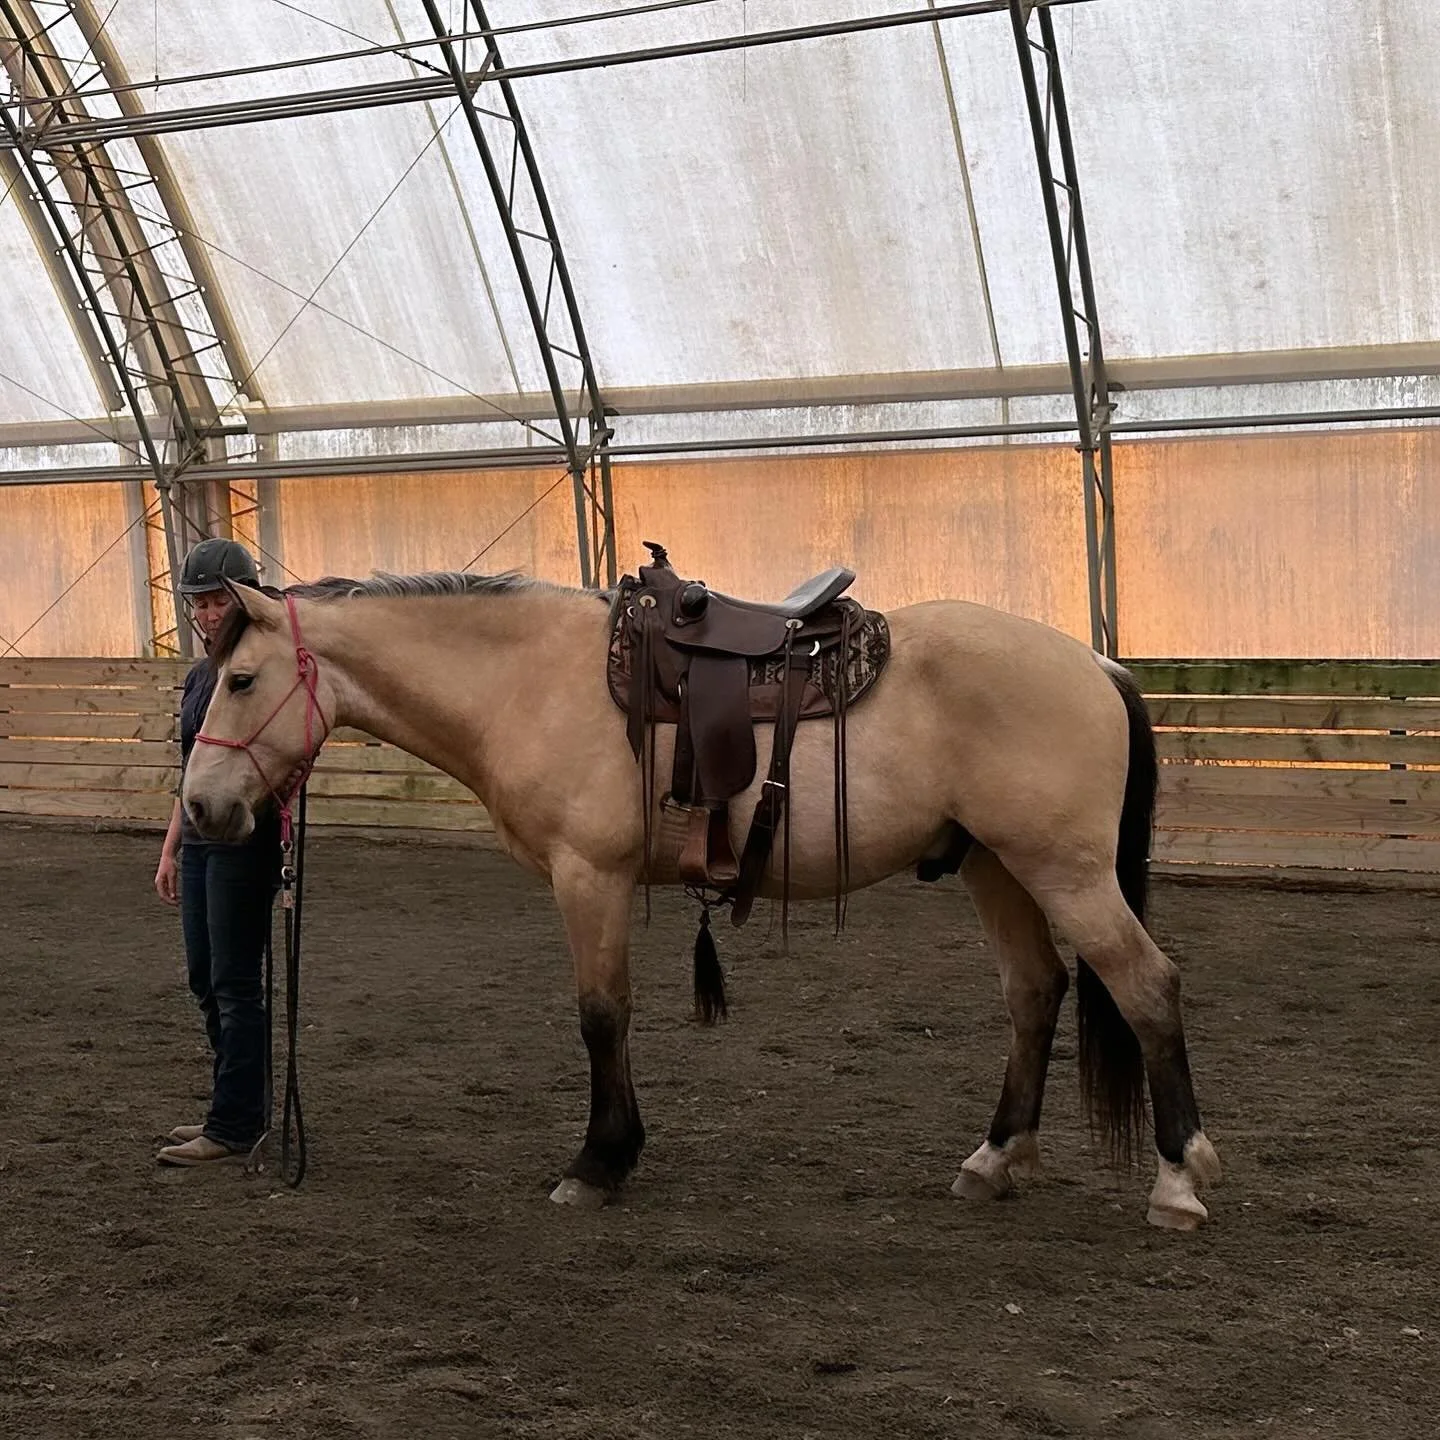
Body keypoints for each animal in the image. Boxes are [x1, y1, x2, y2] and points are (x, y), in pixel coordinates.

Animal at [181, 565, 1221, 1231]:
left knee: (1146, 985)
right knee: (1035, 993)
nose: (200, 809)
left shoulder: (590, 876)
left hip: (1064, 870)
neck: (529, 679)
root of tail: (1097, 664)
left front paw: (598, 1163)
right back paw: (998, 1157)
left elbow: (602, 1014)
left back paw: (1178, 1177)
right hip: (998, 867)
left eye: (241, 679)